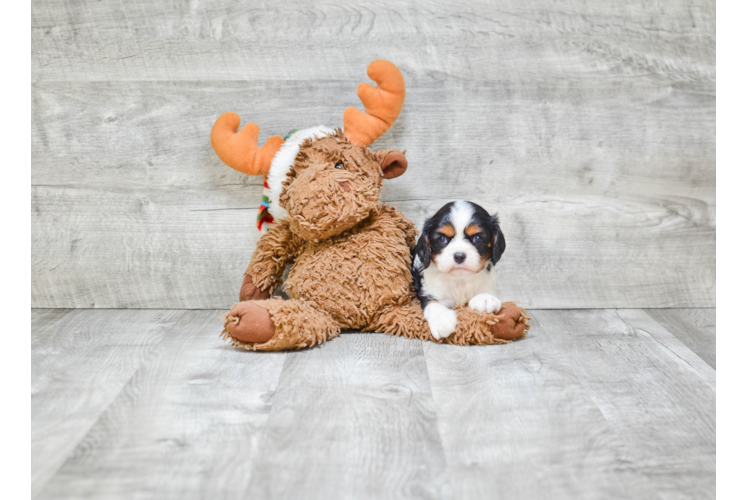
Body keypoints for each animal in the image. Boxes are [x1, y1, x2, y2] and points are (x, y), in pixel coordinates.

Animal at [412, 200, 506, 340]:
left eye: (477, 238)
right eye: (442, 239)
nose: (459, 256)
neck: (460, 278)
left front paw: (485, 298)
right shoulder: (428, 290)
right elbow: (432, 301)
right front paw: (441, 320)